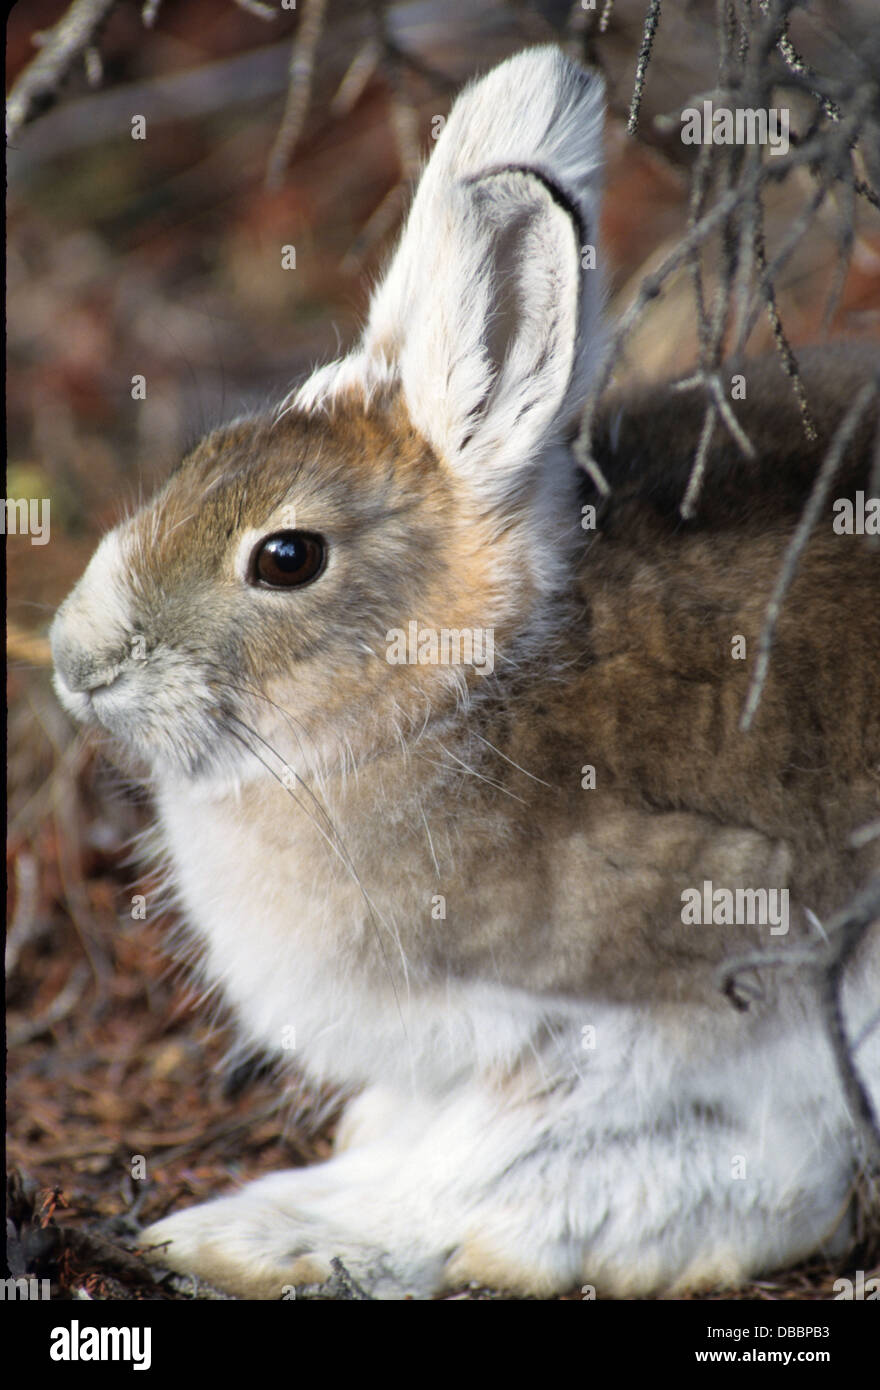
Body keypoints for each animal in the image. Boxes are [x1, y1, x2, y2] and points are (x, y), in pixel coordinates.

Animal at [50, 46, 880, 1299]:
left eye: (286, 558)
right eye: (199, 456)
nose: (73, 658)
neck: (455, 692)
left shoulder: (687, 1001)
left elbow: (497, 1159)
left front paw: (268, 1231)